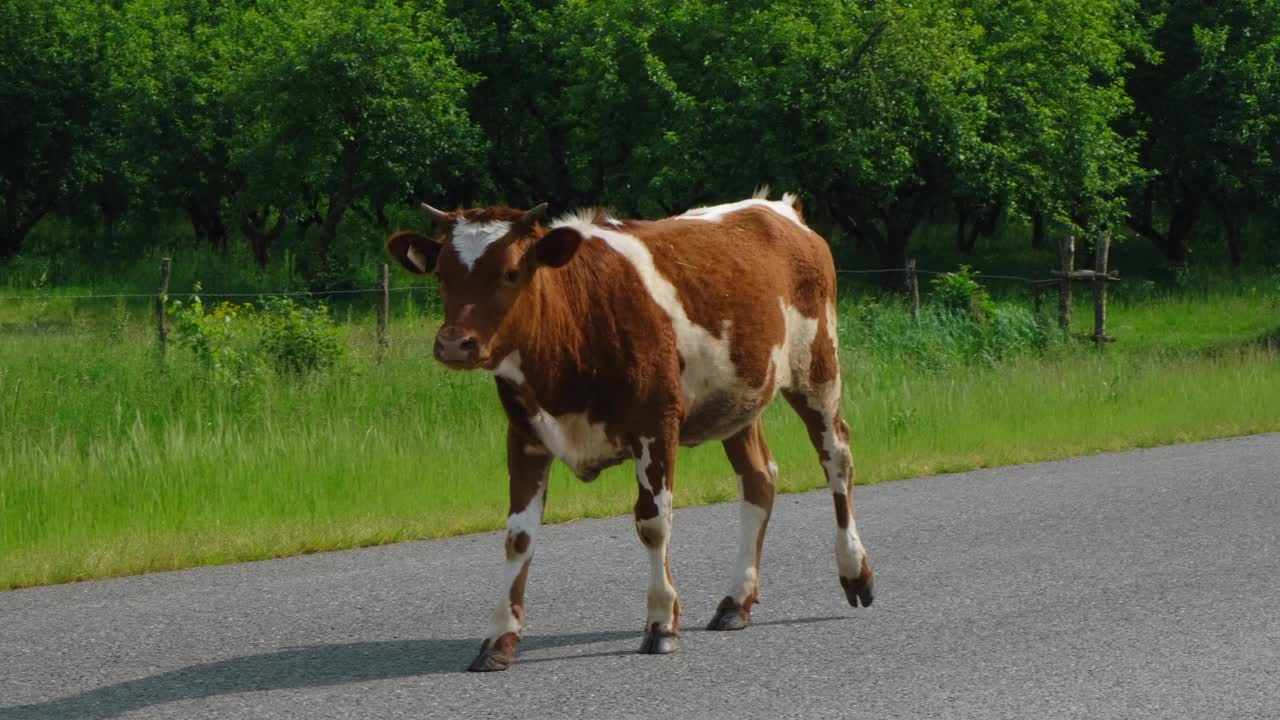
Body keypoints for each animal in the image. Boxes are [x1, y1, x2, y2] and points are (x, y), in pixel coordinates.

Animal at [384, 189, 875, 666]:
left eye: (510, 272)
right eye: (442, 274)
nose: (454, 343)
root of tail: (777, 209)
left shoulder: (656, 425)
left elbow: (653, 521)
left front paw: (661, 624)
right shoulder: (524, 435)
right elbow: (518, 536)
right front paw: (500, 638)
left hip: (817, 368)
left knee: (837, 458)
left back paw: (854, 571)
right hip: (741, 397)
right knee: (758, 480)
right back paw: (737, 601)